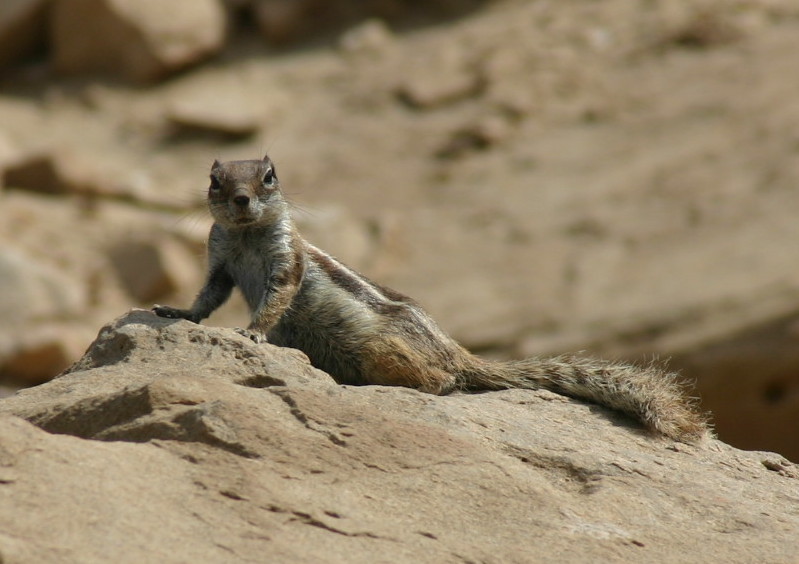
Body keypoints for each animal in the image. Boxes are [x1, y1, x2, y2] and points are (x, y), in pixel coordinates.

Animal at [153, 153, 708, 440]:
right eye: (214, 180)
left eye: (269, 177)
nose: (242, 199)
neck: (247, 236)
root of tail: (453, 349)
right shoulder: (220, 263)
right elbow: (207, 297)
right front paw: (176, 310)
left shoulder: (285, 263)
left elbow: (274, 299)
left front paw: (251, 332)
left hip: (382, 350)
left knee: (444, 382)